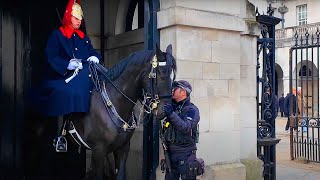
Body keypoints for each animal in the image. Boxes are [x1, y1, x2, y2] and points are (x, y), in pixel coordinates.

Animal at [24, 44, 176, 180]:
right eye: (161, 75)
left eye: (173, 77)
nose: (166, 110)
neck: (115, 103)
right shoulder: (99, 150)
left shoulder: (123, 148)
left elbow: (120, 175)